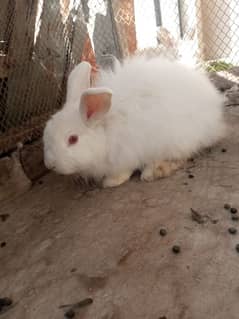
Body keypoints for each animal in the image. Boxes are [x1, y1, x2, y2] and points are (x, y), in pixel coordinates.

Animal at [43, 56, 226, 189]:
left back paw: (153, 172)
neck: (107, 128)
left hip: (177, 139)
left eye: (73, 139)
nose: (50, 165)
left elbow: (124, 171)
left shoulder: (126, 153)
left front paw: (110, 182)